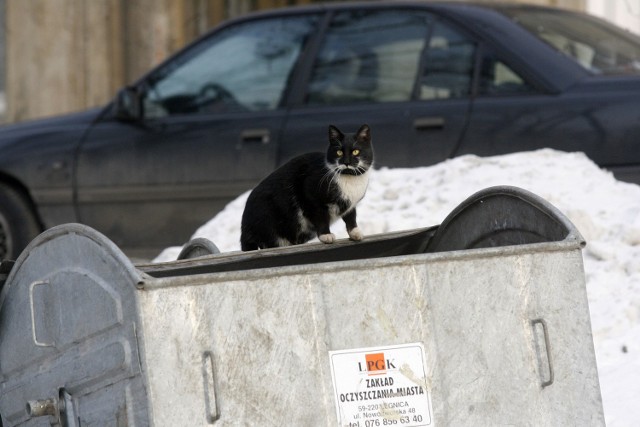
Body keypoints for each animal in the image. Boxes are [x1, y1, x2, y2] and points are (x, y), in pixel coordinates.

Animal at [240, 123, 372, 251]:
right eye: (339, 152)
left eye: (356, 152)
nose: (346, 162)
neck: (349, 179)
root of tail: (245, 228)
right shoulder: (310, 196)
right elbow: (320, 217)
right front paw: (326, 235)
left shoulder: (351, 204)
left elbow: (351, 217)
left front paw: (355, 233)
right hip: (269, 223)